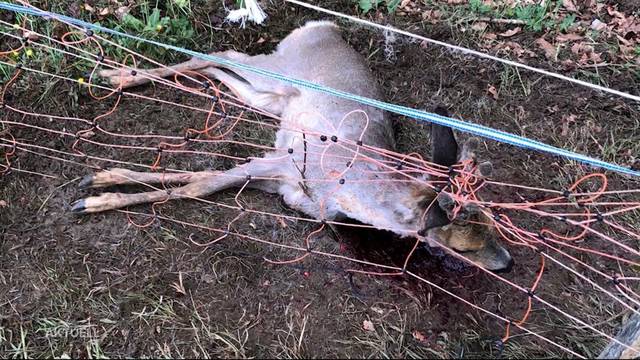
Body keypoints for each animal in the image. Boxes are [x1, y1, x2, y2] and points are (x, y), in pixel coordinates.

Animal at [71, 20, 516, 270]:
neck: (345, 191)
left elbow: (204, 178)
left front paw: (98, 184)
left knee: (219, 68)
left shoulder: (280, 180)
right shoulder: (284, 162)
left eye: (491, 225)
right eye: (466, 245)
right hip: (275, 73)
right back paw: (113, 77)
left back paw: (116, 77)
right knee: (221, 53)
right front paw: (96, 193)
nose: (509, 263)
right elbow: (203, 184)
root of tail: (326, 27)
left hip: (269, 98)